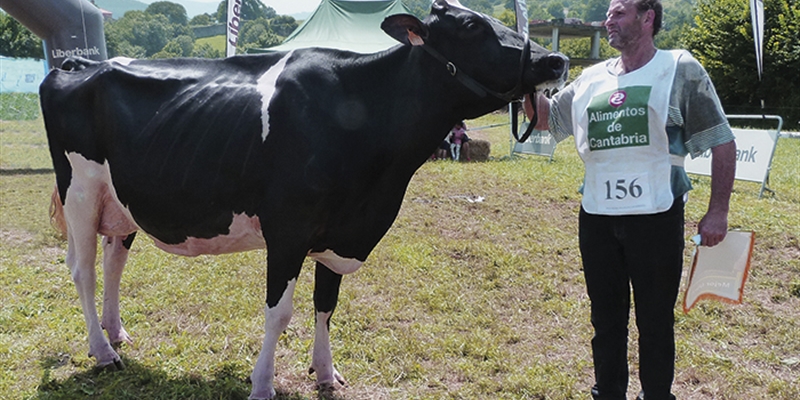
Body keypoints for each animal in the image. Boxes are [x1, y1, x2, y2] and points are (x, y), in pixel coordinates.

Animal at [39, 1, 568, 398]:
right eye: (473, 25)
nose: (556, 61)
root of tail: (81, 63)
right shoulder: (289, 229)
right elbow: (280, 311)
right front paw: (262, 384)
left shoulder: (339, 232)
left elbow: (326, 304)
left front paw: (327, 373)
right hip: (80, 190)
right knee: (83, 269)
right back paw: (103, 351)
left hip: (121, 201)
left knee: (114, 261)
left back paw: (117, 333)